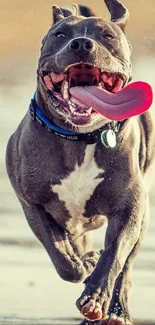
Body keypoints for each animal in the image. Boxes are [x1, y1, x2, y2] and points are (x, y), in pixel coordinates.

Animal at [5, 0, 155, 324]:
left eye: (107, 36)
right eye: (60, 35)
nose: (82, 43)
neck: (79, 138)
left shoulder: (129, 208)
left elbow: (114, 255)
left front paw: (95, 297)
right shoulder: (32, 204)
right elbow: (61, 255)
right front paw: (83, 265)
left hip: (143, 217)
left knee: (126, 267)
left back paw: (117, 311)